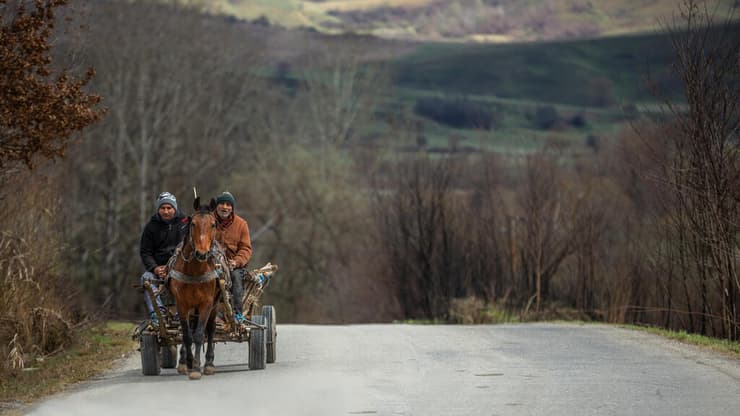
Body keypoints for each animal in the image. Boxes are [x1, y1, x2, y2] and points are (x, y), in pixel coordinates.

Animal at [170, 197, 220, 378]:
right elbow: (187, 335)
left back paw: (210, 363)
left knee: (210, 329)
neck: (195, 271)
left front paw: (197, 368)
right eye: (193, 224)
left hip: (215, 305)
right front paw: (189, 363)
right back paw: (184, 361)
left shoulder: (206, 303)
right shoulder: (182, 304)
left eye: (213, 224)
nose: (201, 253)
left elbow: (199, 335)